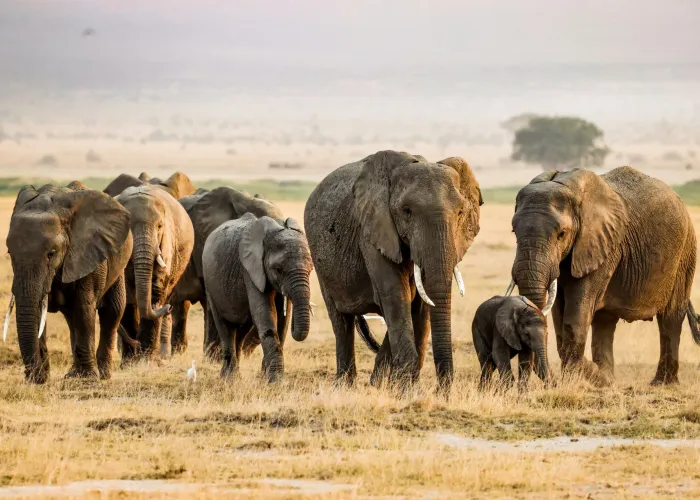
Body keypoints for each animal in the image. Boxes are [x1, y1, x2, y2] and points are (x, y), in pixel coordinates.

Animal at [5, 182, 132, 382]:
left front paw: (88, 380)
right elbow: (38, 310)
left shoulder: (87, 253)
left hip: (118, 263)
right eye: (10, 253)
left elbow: (84, 307)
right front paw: (40, 379)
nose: (33, 376)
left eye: (51, 254)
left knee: (112, 311)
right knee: (72, 319)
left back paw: (103, 375)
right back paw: (73, 374)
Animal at [115, 184, 194, 361]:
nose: (168, 307)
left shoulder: (166, 243)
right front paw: (130, 361)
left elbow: (156, 288)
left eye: (159, 226)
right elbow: (127, 294)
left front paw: (145, 359)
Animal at [202, 214, 313, 382]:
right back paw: (229, 379)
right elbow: (265, 313)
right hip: (210, 284)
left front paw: (265, 378)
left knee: (241, 330)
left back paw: (235, 376)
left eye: (311, 268)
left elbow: (282, 321)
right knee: (225, 327)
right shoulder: (250, 270)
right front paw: (275, 381)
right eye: (278, 269)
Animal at [304, 150, 483, 392]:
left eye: (461, 212)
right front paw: (406, 390)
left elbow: (419, 303)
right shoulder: (372, 230)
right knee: (341, 322)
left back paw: (374, 384)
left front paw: (402, 388)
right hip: (320, 260)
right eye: (407, 212)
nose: (440, 391)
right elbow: (395, 295)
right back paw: (344, 387)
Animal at [507, 166, 700, 386]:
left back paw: (661, 383)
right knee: (605, 321)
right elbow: (559, 316)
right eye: (514, 232)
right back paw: (610, 377)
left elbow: (575, 318)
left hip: (685, 252)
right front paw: (594, 378)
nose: (554, 382)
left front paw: (592, 375)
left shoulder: (603, 247)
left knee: (671, 318)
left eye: (562, 234)